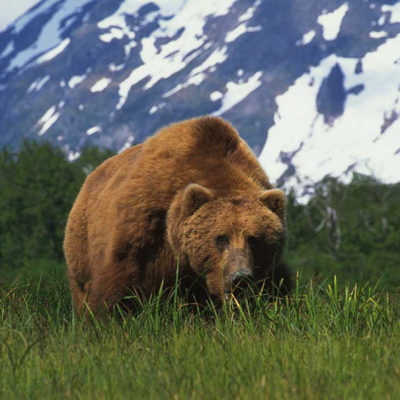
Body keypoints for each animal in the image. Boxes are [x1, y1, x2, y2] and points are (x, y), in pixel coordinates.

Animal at [64, 115, 292, 312]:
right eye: (221, 238)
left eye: (254, 238)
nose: (240, 277)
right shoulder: (145, 226)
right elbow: (117, 284)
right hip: (81, 248)